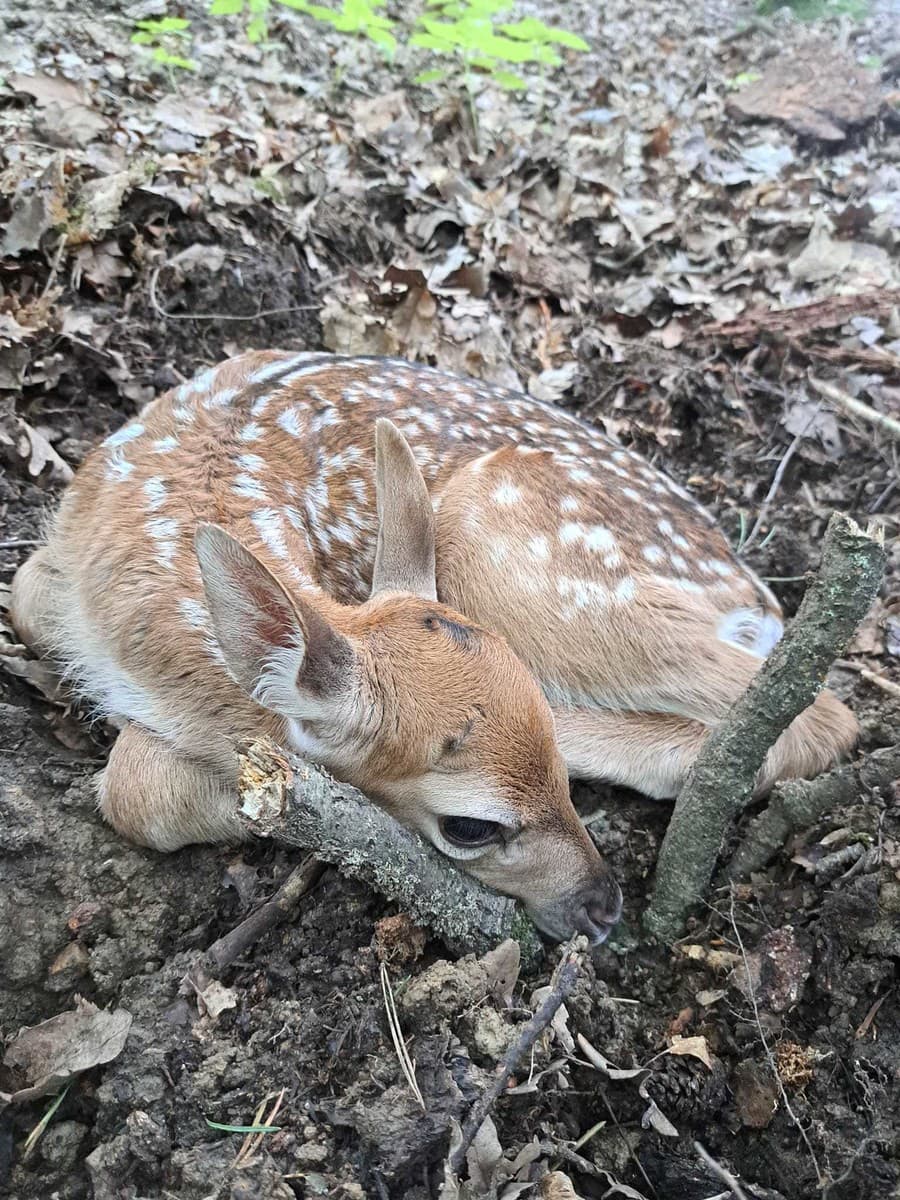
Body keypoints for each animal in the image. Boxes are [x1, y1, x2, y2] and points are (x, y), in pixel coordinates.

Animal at [10, 350, 859, 940]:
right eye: (471, 827)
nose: (604, 908)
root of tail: (756, 598)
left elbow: (134, 788)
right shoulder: (45, 582)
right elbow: (25, 606)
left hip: (504, 532)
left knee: (828, 714)